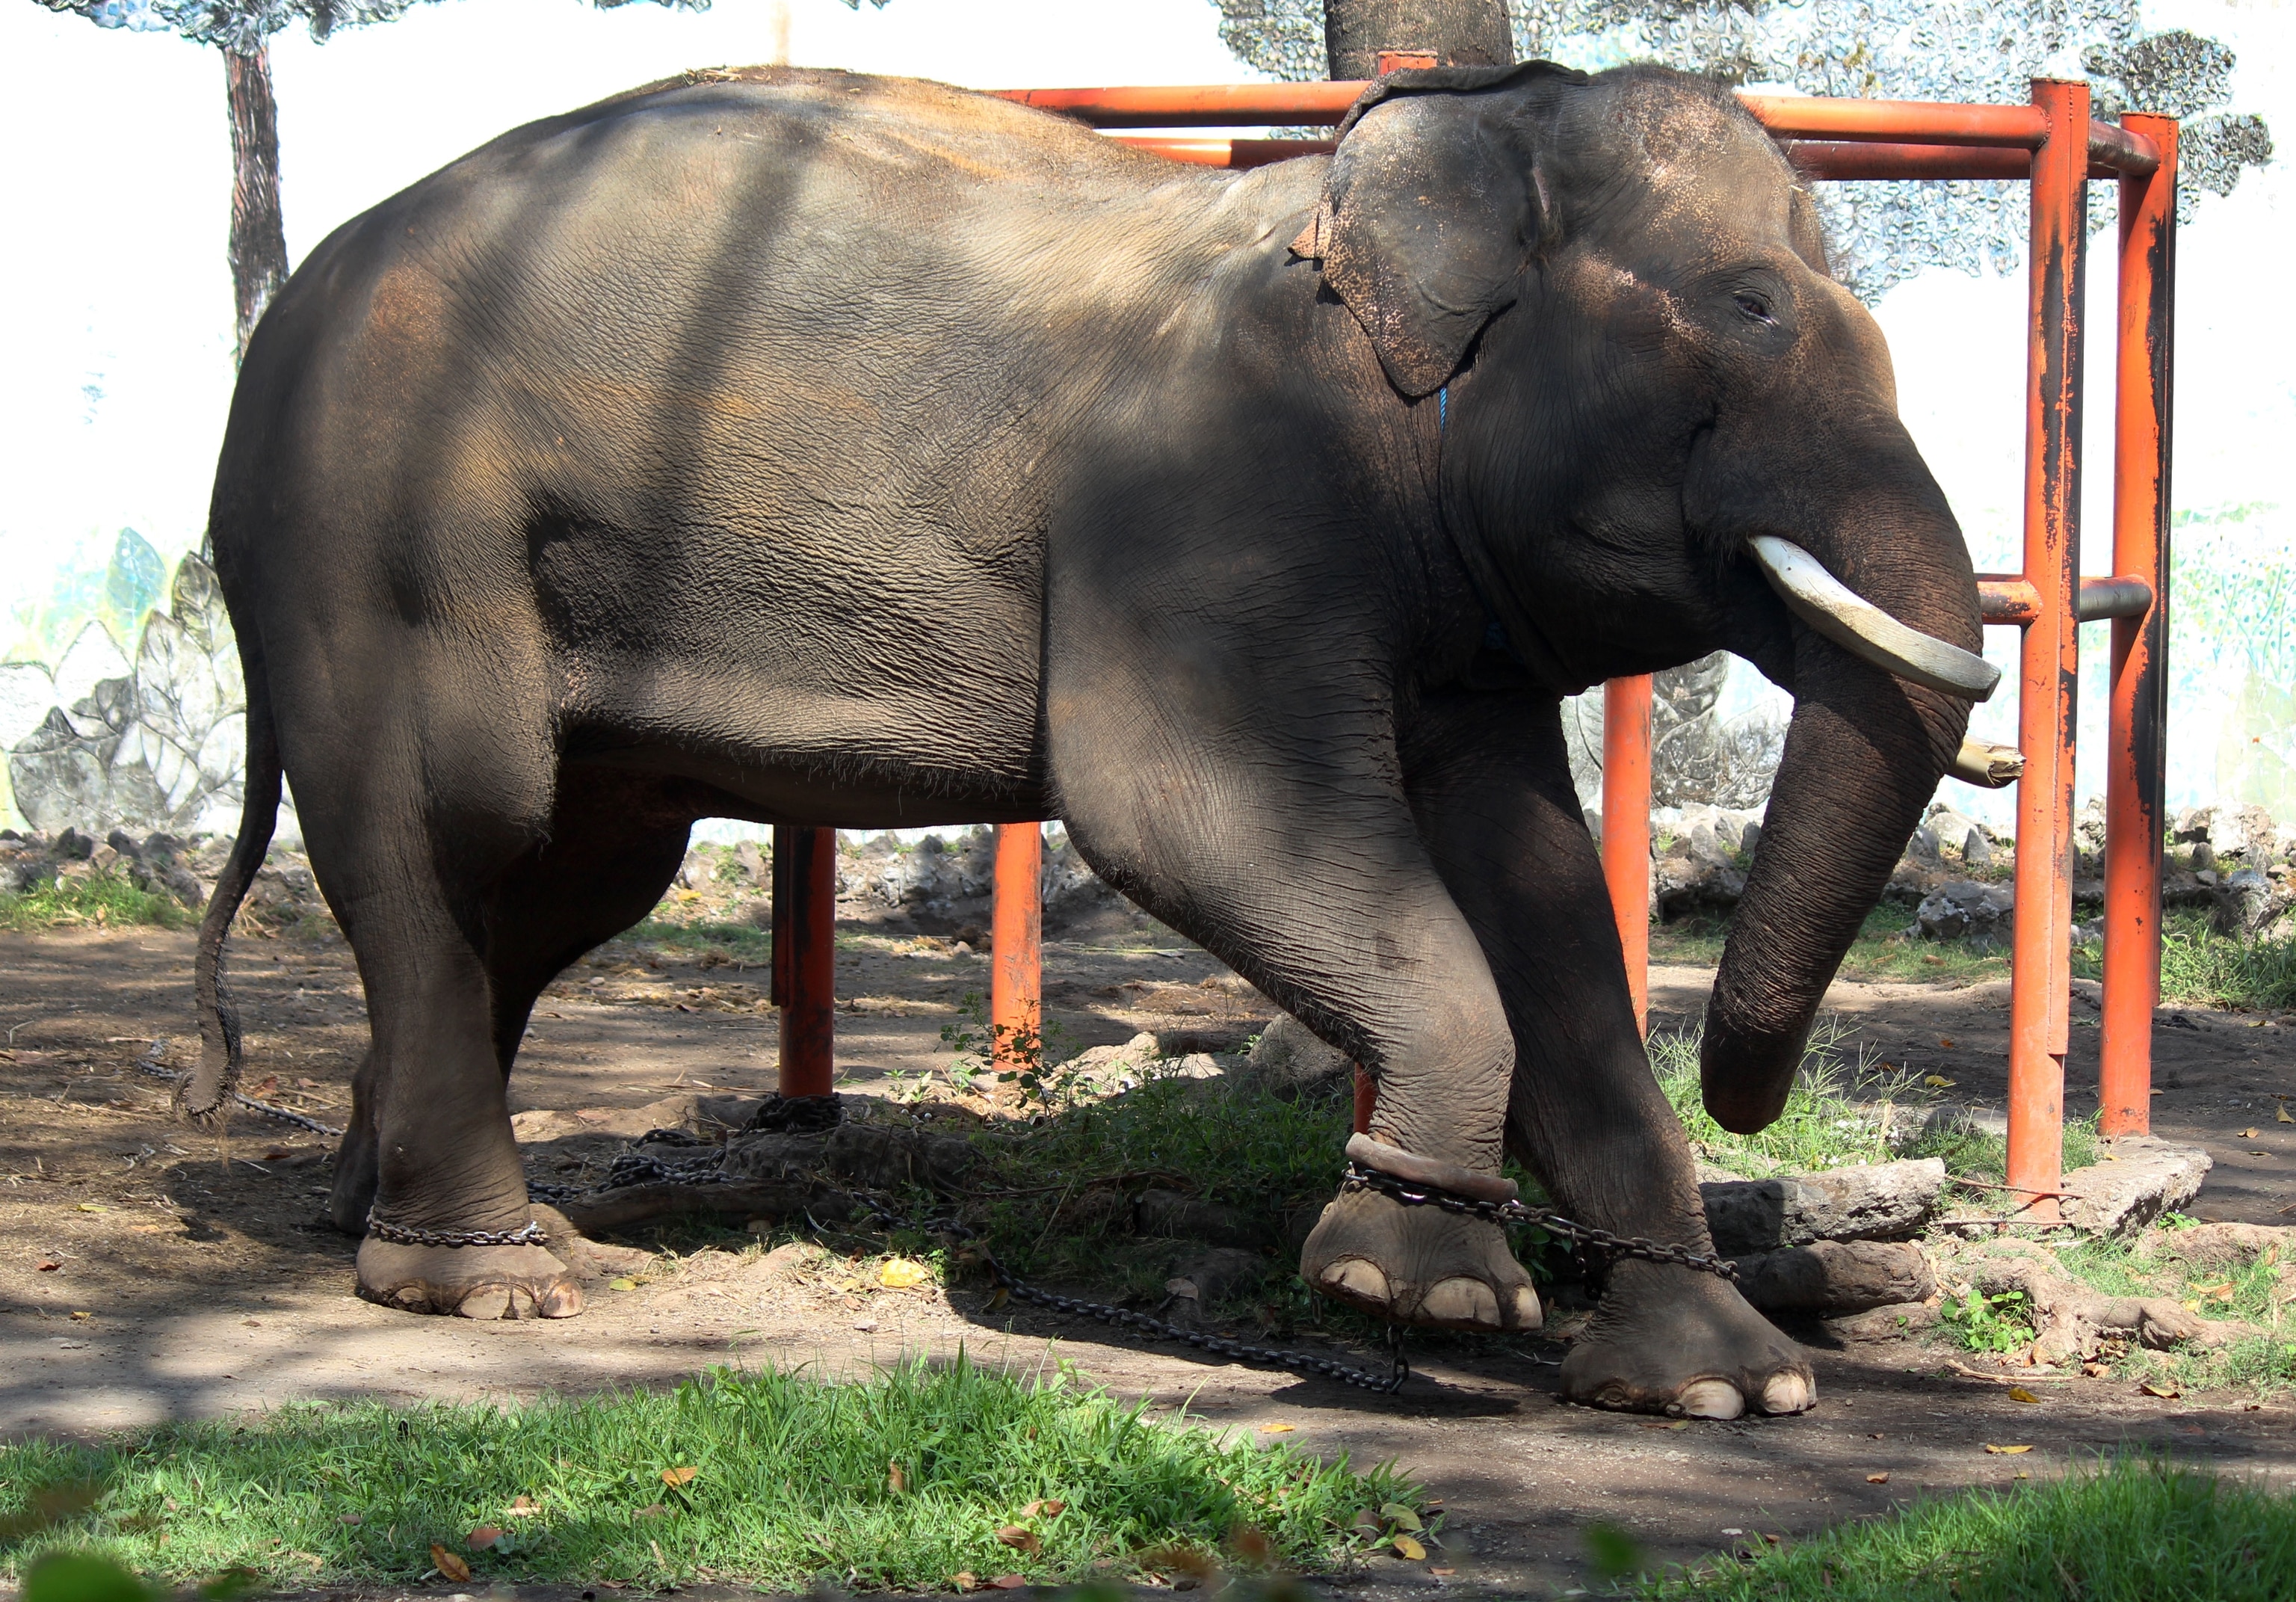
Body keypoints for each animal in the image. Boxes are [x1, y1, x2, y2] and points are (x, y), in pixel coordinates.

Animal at [187, 58, 1998, 1420]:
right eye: (1747, 307)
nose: (1757, 1104)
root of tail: (281, 316)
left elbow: (1537, 889)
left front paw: (1723, 1386)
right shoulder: (1207, 498)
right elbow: (1181, 818)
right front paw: (1416, 1288)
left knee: (565, 879)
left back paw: (383, 1211)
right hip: (380, 538)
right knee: (454, 829)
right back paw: (494, 1279)